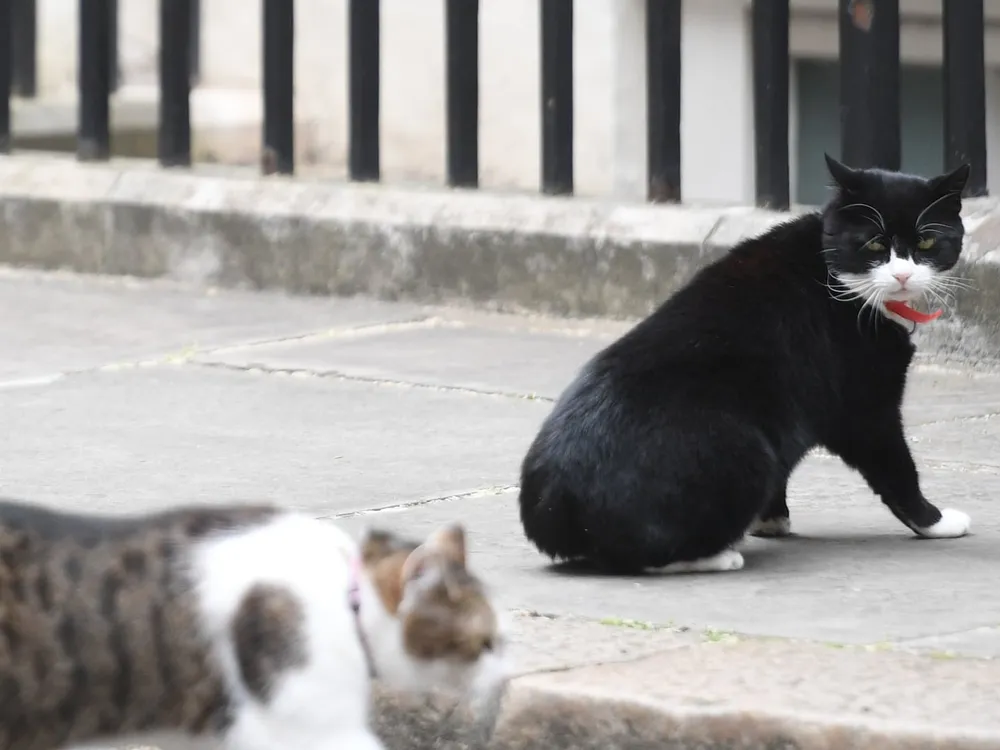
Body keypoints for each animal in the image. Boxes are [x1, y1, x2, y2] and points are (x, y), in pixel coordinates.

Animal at [520, 156, 972, 572]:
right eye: (875, 244)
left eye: (927, 243)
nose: (902, 277)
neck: (836, 278)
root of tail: (555, 505)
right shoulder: (864, 404)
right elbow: (895, 466)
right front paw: (935, 521)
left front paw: (770, 520)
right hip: (746, 450)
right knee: (644, 556)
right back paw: (717, 556)